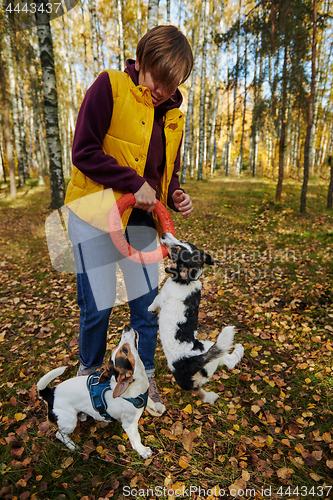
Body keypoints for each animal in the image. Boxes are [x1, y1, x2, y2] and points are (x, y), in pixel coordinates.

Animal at [148, 232, 244, 404]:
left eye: (176, 250)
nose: (165, 234)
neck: (187, 281)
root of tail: (193, 364)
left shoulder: (162, 296)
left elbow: (155, 302)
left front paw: (151, 309)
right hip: (212, 359)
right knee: (224, 367)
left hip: (206, 349)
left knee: (226, 365)